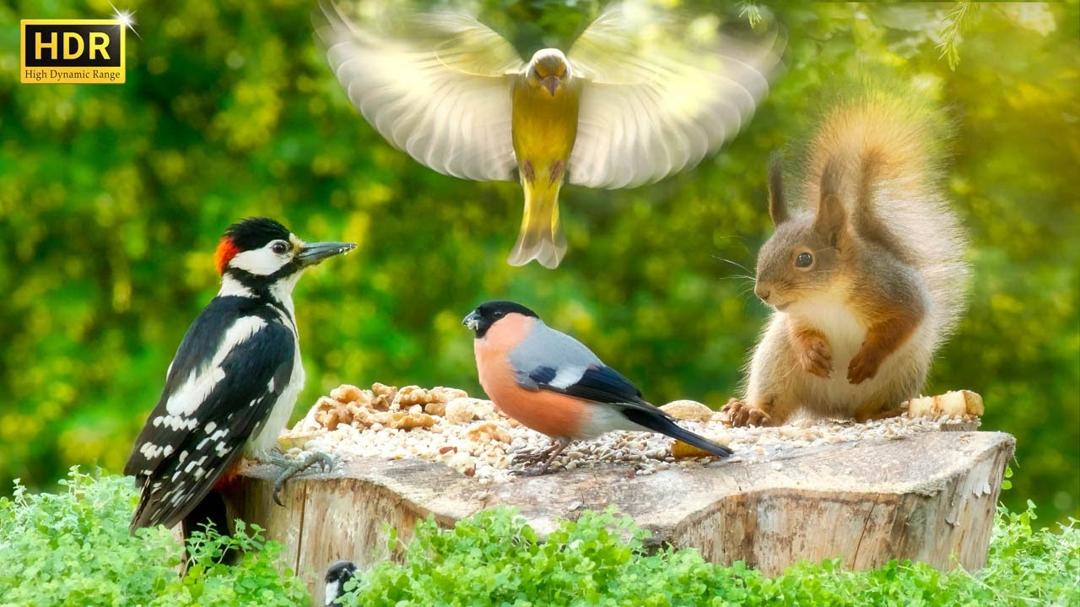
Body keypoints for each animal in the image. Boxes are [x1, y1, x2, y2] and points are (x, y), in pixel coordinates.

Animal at [723, 93, 970, 426]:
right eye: (763, 251)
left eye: (804, 258)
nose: (762, 292)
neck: (828, 296)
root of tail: (834, 408)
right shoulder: (798, 316)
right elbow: (799, 331)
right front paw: (810, 353)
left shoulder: (896, 292)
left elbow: (903, 322)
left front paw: (868, 358)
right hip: (775, 362)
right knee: (775, 404)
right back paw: (751, 410)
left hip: (901, 374)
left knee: (866, 411)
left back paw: (885, 411)